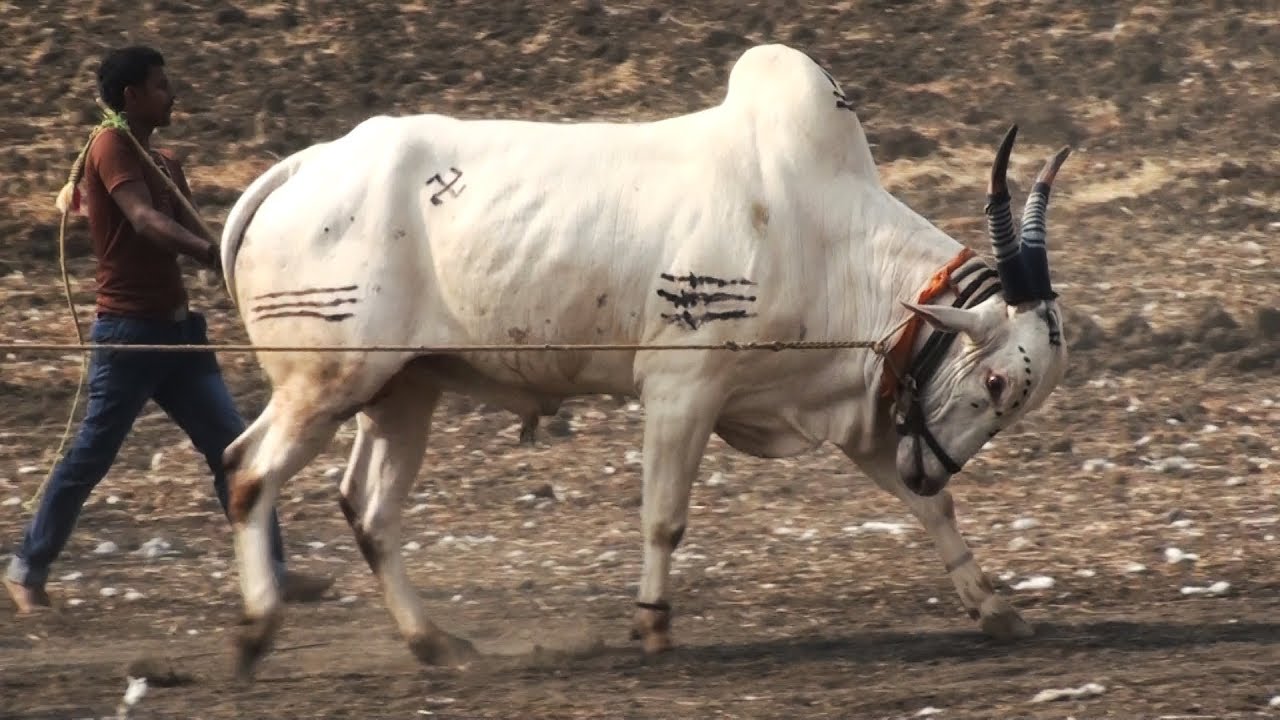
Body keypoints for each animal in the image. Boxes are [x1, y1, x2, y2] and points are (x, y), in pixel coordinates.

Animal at [217, 43, 1070, 671]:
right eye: (997, 380)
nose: (930, 466)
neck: (821, 232)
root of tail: (305, 166)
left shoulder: (862, 417)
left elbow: (932, 511)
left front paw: (995, 607)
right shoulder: (681, 387)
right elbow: (664, 518)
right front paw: (654, 623)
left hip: (402, 390)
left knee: (368, 509)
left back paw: (434, 643)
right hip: (326, 381)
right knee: (248, 470)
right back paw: (257, 631)